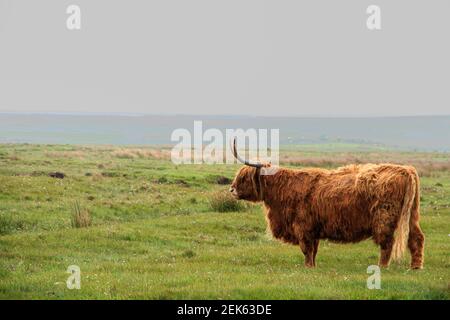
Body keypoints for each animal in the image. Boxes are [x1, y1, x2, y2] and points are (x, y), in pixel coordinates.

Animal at [230, 139, 424, 268]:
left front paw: (308, 267)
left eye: (244, 177)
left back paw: (382, 267)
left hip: (384, 218)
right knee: (416, 238)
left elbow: (307, 249)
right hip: (412, 215)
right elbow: (314, 250)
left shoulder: (303, 227)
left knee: (387, 244)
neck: (284, 188)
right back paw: (415, 267)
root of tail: (406, 170)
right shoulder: (313, 229)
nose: (231, 189)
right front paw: (313, 267)